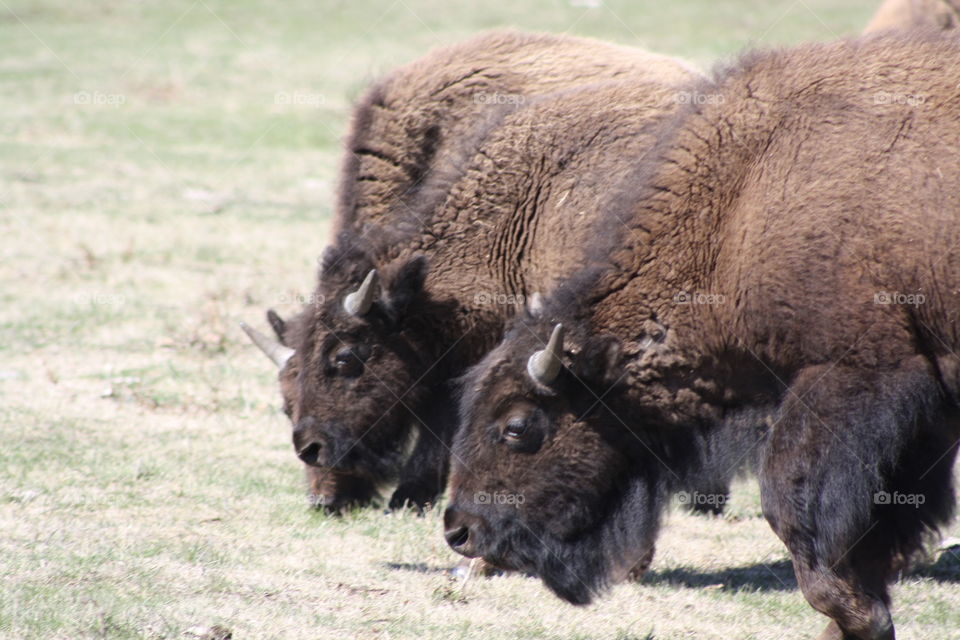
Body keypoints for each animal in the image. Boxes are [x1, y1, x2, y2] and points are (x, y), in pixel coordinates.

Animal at [445, 31, 960, 640]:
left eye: (518, 426)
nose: (459, 531)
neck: (739, 205)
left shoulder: (855, 374)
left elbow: (792, 500)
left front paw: (857, 616)